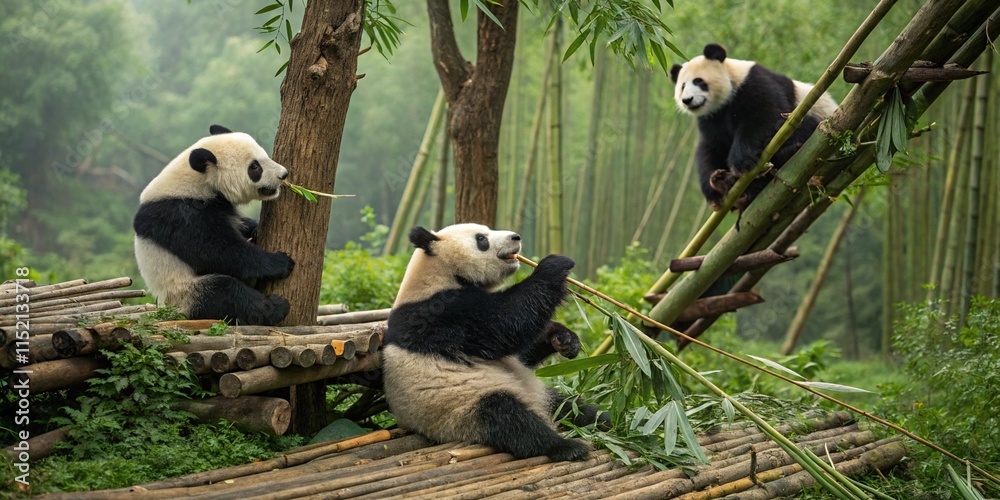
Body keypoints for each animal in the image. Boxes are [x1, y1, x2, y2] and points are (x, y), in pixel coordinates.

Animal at [133, 125, 295, 326]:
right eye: (255, 167)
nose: (283, 174)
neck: (196, 181)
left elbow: (238, 226)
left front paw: (255, 230)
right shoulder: (177, 214)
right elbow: (214, 249)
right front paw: (280, 262)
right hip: (184, 295)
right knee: (225, 292)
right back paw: (275, 308)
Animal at [381, 224, 599, 462]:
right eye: (481, 239)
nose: (516, 237)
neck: (439, 273)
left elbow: (520, 354)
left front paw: (564, 340)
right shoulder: (440, 314)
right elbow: (504, 323)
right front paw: (555, 265)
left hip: (545, 397)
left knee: (574, 407)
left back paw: (604, 419)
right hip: (460, 408)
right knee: (510, 418)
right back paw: (566, 446)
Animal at [670, 43, 839, 210]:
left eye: (698, 81)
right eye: (682, 86)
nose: (687, 100)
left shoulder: (755, 83)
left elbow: (764, 115)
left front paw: (741, 163)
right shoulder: (712, 119)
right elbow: (710, 148)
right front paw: (715, 190)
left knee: (803, 127)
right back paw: (724, 183)